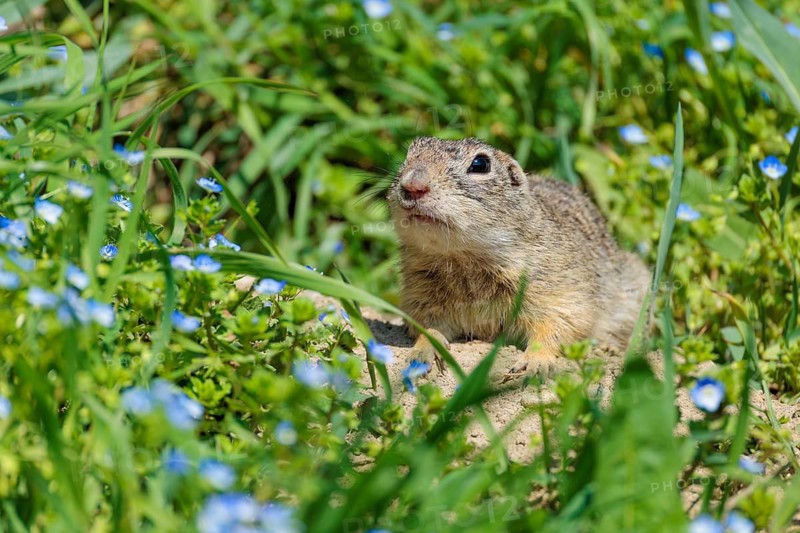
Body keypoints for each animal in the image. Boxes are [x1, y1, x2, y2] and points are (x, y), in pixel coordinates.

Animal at [387, 137, 650, 378]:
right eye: (410, 153)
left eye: (480, 164)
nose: (413, 186)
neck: (464, 259)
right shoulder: (421, 295)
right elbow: (425, 326)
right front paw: (422, 352)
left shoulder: (559, 288)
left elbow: (559, 325)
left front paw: (534, 363)